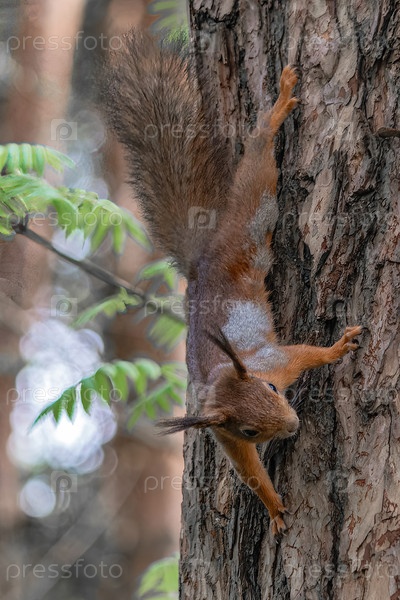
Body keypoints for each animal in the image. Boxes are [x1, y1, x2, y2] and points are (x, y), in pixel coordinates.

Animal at [102, 30, 362, 536]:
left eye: (274, 391)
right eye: (249, 430)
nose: (292, 427)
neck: (236, 374)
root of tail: (203, 259)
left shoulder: (272, 361)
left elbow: (306, 354)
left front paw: (337, 349)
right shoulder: (223, 434)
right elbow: (249, 471)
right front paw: (274, 507)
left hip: (249, 225)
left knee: (257, 172)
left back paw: (275, 113)